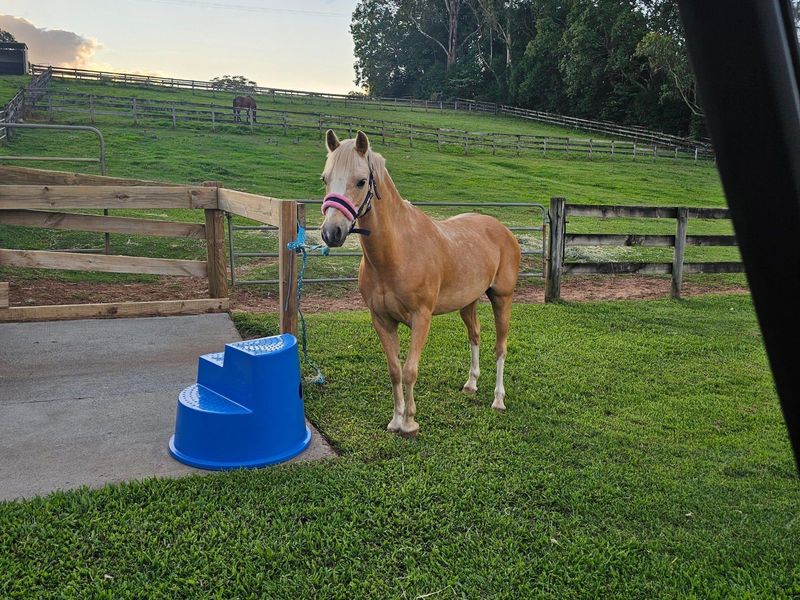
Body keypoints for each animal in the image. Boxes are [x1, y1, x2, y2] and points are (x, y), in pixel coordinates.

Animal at [320, 129, 521, 438]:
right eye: (325, 178)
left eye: (361, 181)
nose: (332, 232)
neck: (397, 252)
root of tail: (504, 231)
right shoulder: (382, 320)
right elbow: (394, 370)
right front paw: (396, 420)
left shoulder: (421, 318)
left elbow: (410, 371)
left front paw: (410, 423)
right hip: (468, 302)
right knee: (474, 335)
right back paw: (471, 384)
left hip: (502, 298)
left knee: (500, 347)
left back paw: (498, 400)